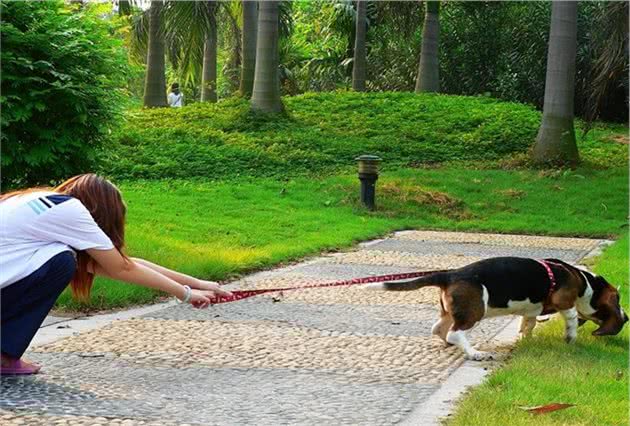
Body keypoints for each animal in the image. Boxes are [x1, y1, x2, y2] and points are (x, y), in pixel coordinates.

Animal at [368, 256, 628, 360]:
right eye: (618, 301)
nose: (625, 318)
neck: (585, 281)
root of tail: (450, 274)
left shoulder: (530, 311)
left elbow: (528, 324)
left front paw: (526, 339)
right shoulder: (566, 302)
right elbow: (572, 319)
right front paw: (571, 339)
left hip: (450, 312)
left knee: (439, 329)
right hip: (475, 311)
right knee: (455, 332)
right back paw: (475, 353)